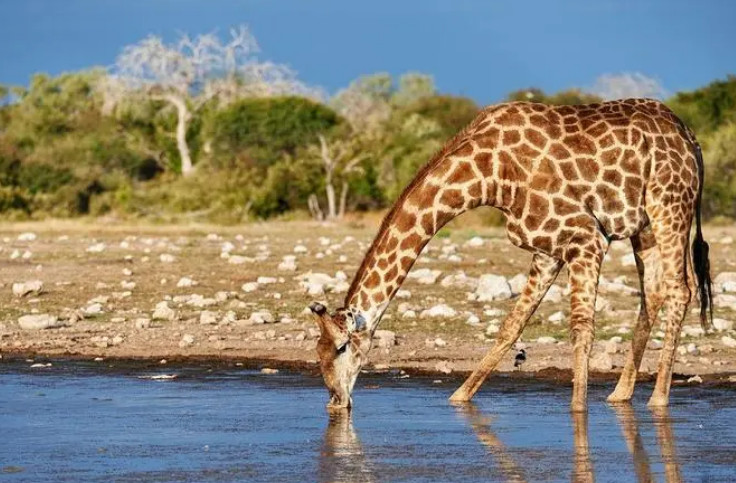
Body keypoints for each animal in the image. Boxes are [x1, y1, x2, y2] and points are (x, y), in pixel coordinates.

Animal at [306, 97, 712, 412]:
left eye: (342, 347)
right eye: (317, 352)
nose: (336, 401)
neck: (489, 177)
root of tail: (692, 140)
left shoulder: (585, 235)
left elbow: (580, 327)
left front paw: (577, 409)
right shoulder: (548, 248)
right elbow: (511, 325)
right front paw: (459, 398)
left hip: (669, 205)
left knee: (680, 290)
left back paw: (658, 399)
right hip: (643, 225)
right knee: (653, 292)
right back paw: (621, 393)